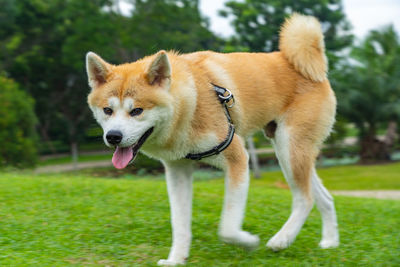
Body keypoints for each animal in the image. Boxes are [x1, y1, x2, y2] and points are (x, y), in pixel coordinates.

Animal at [86, 14, 340, 266]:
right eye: (108, 110)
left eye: (137, 111)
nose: (113, 136)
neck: (190, 105)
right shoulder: (177, 170)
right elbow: (179, 223)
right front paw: (176, 259)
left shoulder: (237, 158)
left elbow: (228, 227)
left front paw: (248, 242)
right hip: (287, 151)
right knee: (324, 197)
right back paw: (329, 242)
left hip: (290, 148)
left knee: (305, 198)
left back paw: (281, 240)